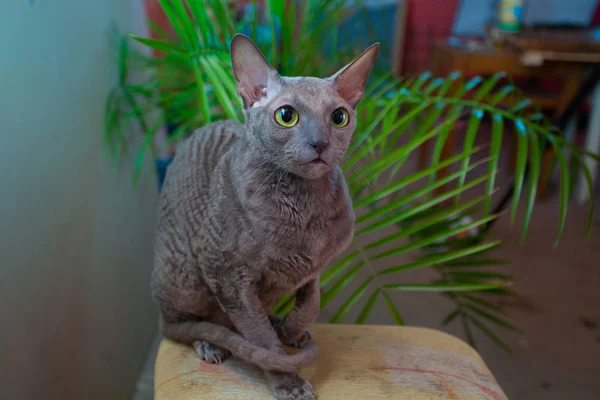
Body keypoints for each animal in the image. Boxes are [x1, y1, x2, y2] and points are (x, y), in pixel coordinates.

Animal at [152, 35, 378, 400]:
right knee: (182, 325)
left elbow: (311, 305)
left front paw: (290, 330)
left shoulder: (314, 267)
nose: (319, 142)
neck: (305, 211)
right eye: (286, 116)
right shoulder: (228, 276)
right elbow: (261, 340)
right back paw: (210, 343)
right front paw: (288, 382)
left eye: (339, 117)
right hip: (184, 272)